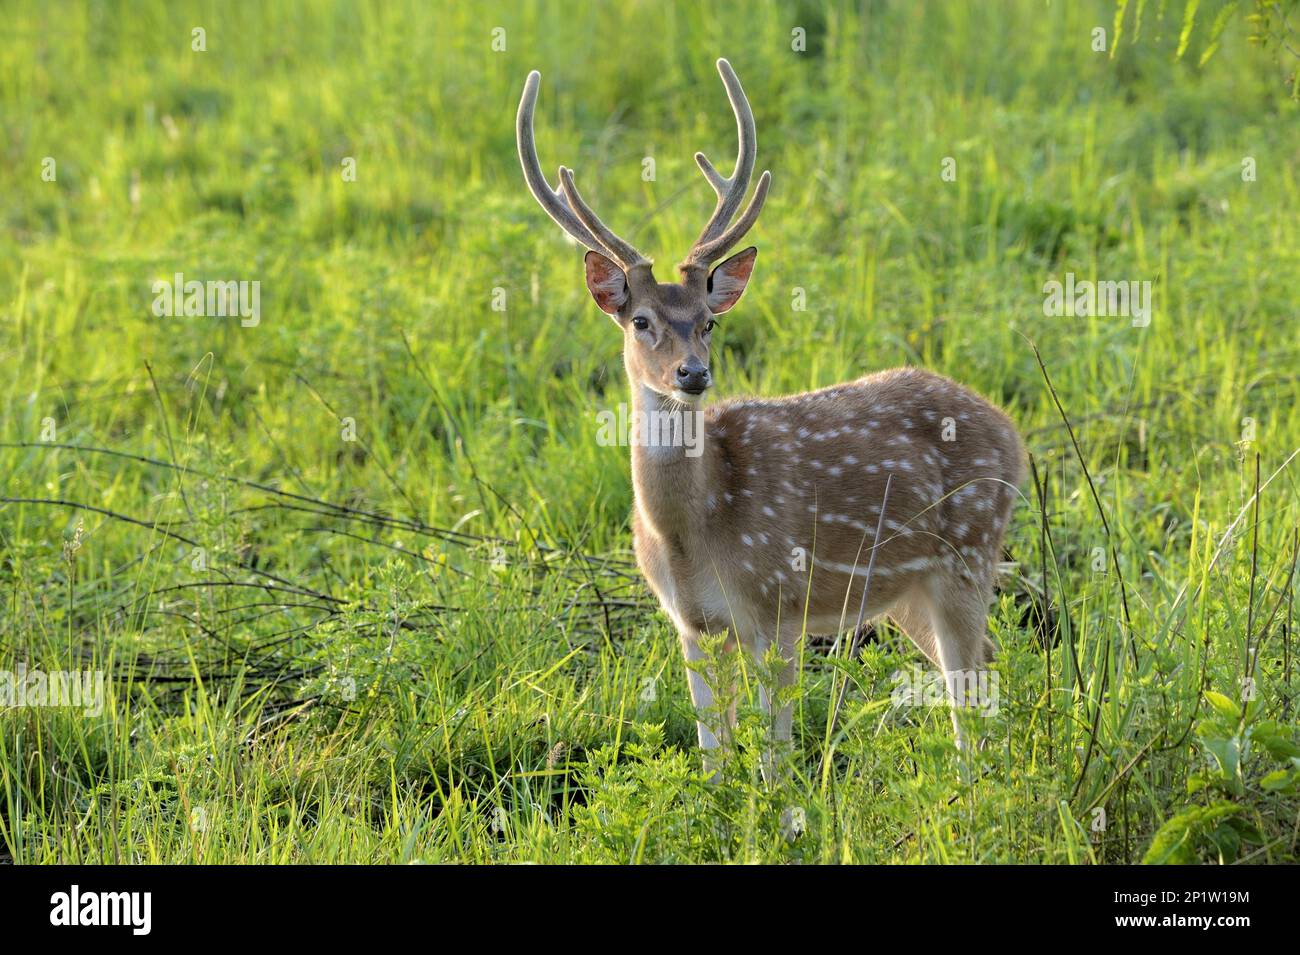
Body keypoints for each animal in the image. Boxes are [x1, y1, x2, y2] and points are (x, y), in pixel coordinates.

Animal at [517, 59, 1024, 774]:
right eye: (640, 320)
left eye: (709, 321)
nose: (693, 374)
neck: (693, 534)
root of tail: (1012, 432)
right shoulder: (693, 626)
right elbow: (712, 753)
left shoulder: (780, 606)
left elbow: (776, 757)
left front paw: (780, 804)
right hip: (909, 592)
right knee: (986, 664)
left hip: (970, 552)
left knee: (969, 684)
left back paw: (973, 786)